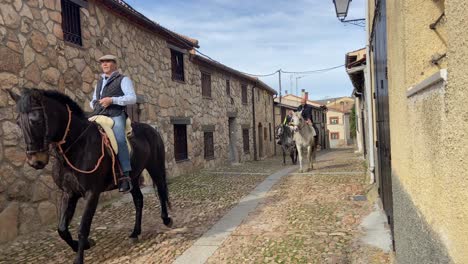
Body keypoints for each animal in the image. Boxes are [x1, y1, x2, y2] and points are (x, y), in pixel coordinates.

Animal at [7, 88, 172, 264]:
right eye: (18, 122)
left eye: (36, 120)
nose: (35, 161)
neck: (77, 145)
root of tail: (152, 130)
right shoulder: (69, 193)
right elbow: (62, 229)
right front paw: (84, 244)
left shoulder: (92, 193)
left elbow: (83, 227)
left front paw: (79, 256)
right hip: (133, 178)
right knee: (139, 200)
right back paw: (135, 232)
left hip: (155, 168)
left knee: (161, 191)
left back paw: (166, 220)